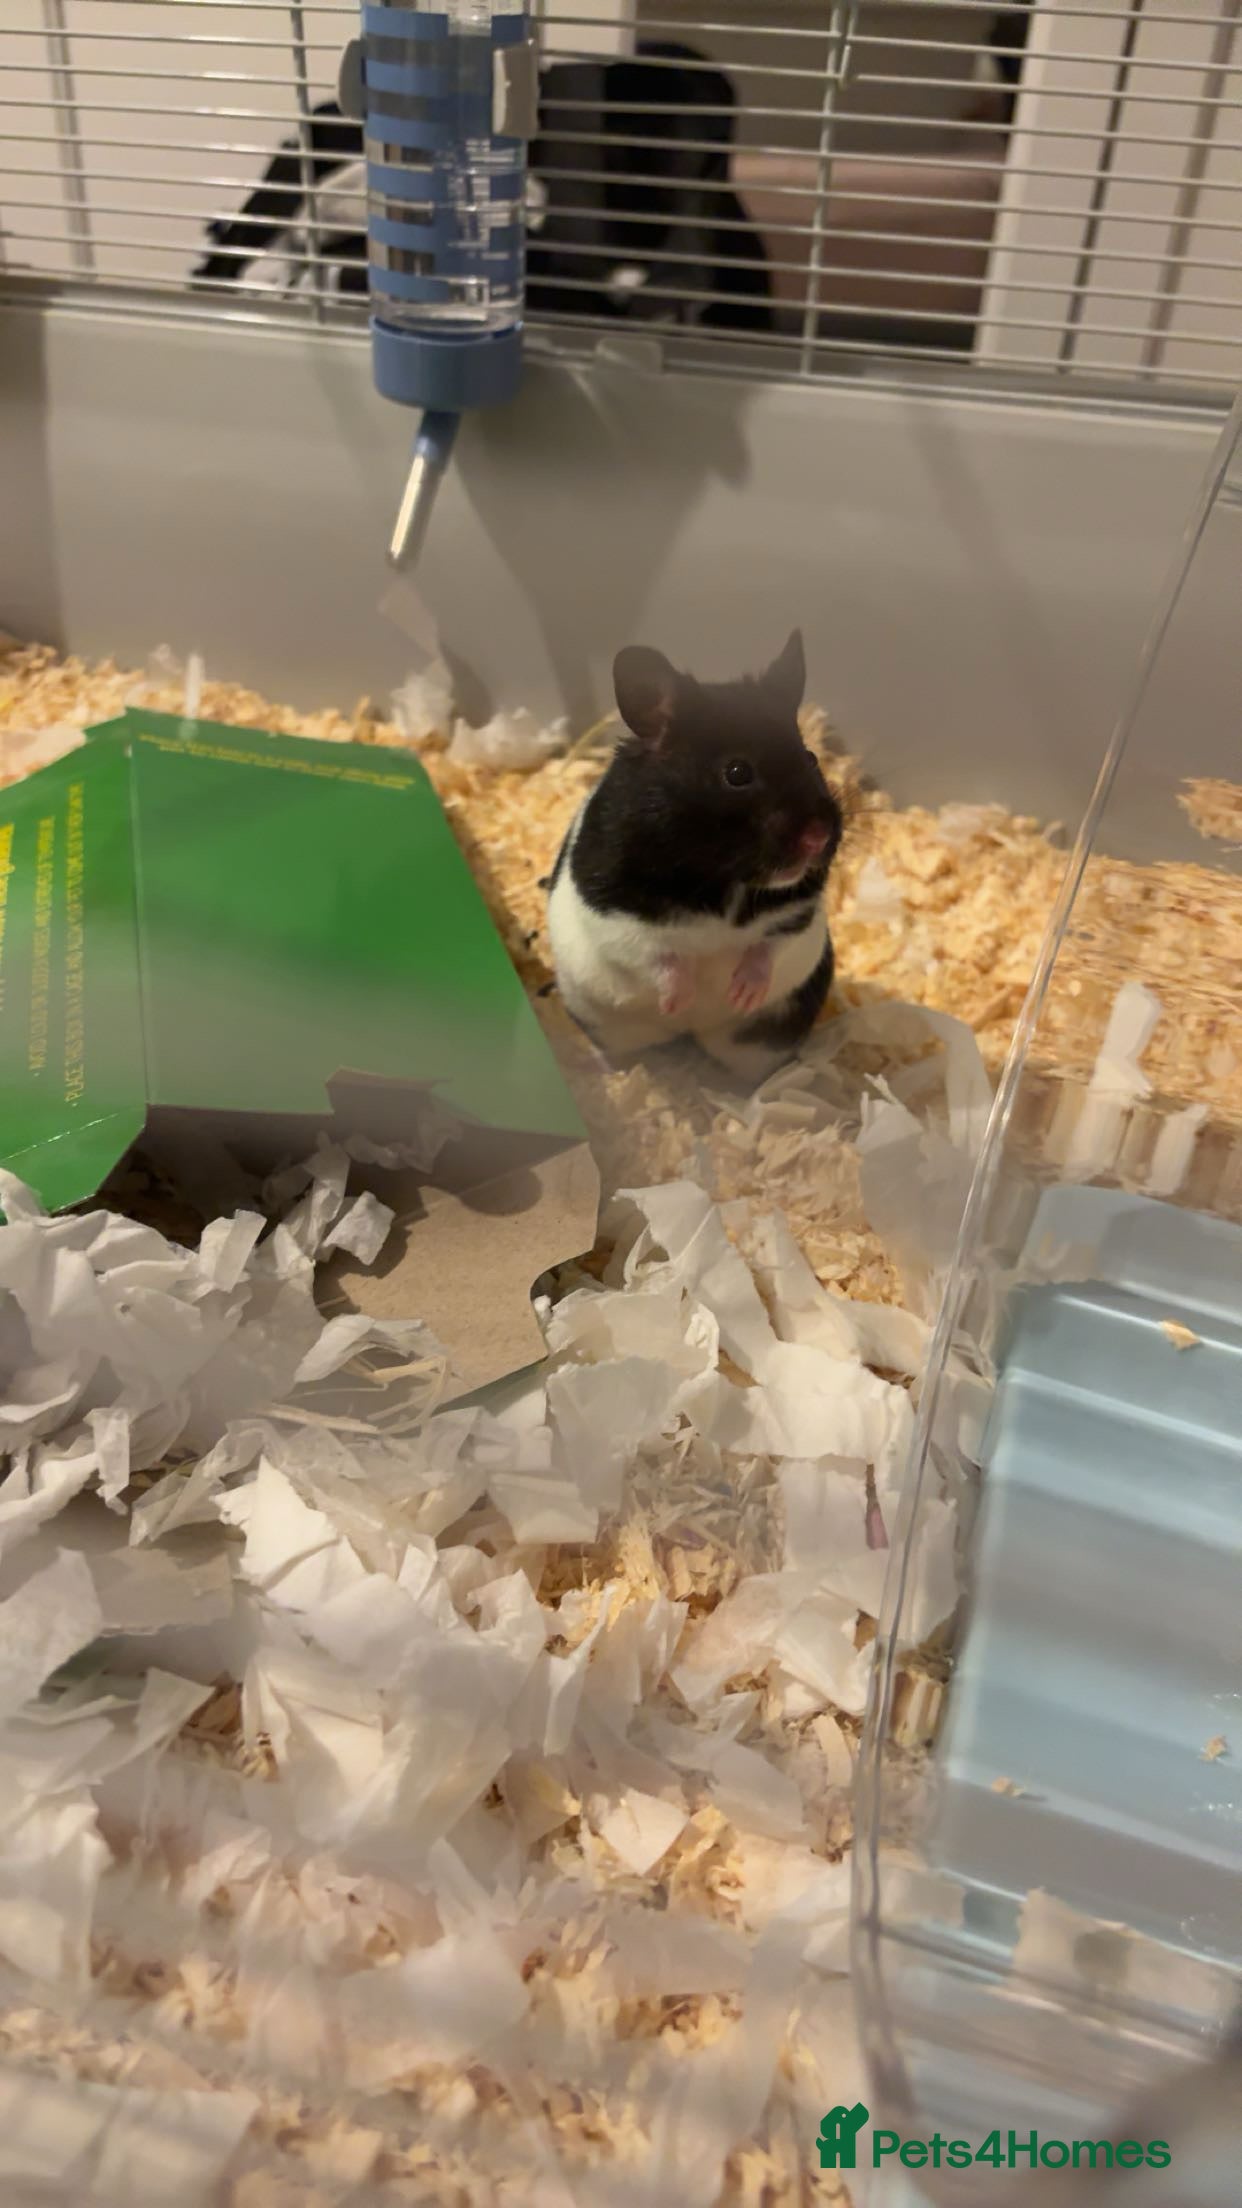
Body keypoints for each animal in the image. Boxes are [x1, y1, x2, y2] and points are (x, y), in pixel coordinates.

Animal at [547, 631, 842, 1083]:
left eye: (810, 758)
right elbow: (657, 956)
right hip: (602, 1023)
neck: (721, 877)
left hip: (765, 1040)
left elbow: (769, 946)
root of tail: (691, 1035)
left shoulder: (798, 911)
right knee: (618, 1053)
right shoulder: (613, 911)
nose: (818, 836)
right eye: (737, 772)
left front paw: (741, 994)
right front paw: (677, 1002)